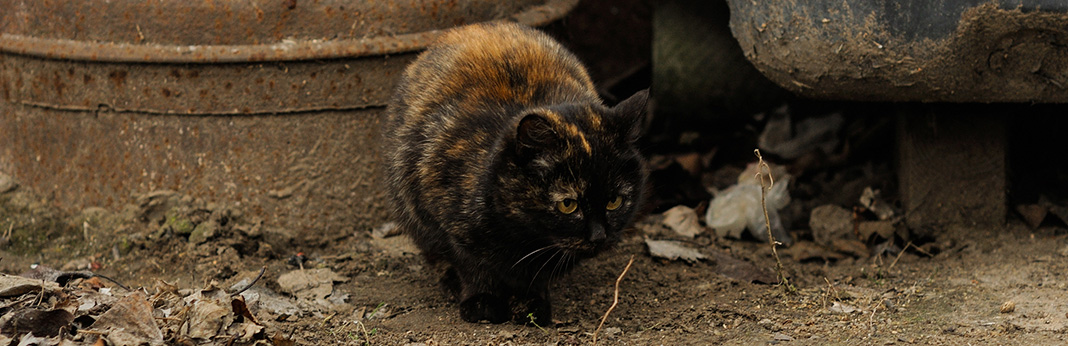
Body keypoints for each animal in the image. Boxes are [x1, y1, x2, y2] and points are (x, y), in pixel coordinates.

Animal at [386, 20, 649, 324]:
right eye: (567, 205)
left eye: (614, 201)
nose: (599, 236)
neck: (521, 235)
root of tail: (472, 26)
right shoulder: (451, 224)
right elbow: (473, 268)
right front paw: (482, 302)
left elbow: (535, 276)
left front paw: (530, 305)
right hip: (409, 206)